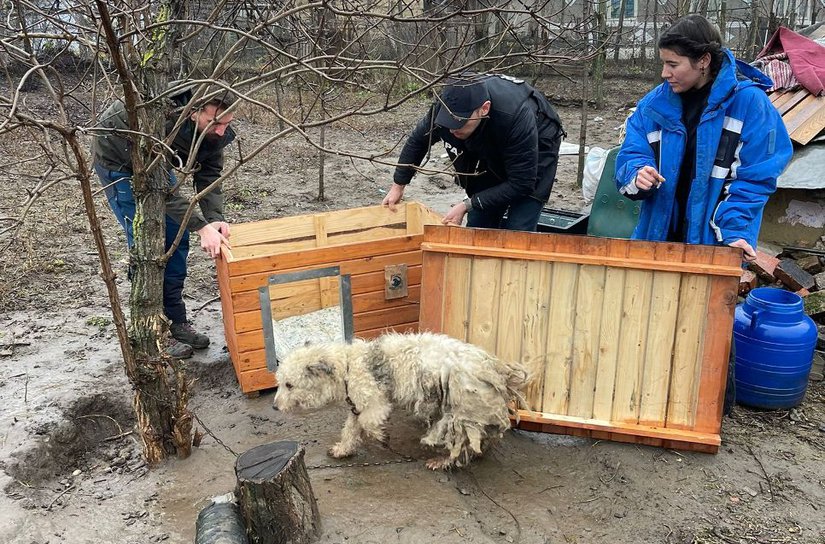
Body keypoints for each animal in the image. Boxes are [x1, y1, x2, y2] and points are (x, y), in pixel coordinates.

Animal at [270, 330, 528, 470]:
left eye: (289, 385)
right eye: (280, 383)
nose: (274, 406)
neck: (348, 366)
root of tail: (495, 370)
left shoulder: (376, 404)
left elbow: (368, 424)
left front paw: (381, 436)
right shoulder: (358, 406)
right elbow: (351, 429)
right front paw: (344, 449)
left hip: (459, 414)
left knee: (462, 444)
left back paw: (442, 461)